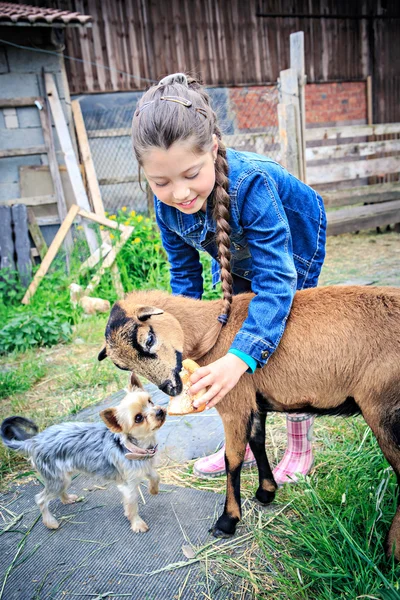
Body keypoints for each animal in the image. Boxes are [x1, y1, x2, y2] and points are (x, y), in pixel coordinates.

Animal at [0, 376, 166, 536]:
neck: (134, 447)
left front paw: (153, 490)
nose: (160, 412)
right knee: (40, 499)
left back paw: (67, 499)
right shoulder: (128, 486)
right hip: (57, 479)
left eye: (150, 401)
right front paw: (137, 524)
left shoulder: (145, 467)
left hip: (64, 477)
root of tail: (34, 441)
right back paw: (50, 522)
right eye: (138, 418)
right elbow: (132, 507)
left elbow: (155, 476)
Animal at [98, 284, 400, 556]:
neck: (213, 331)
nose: (172, 389)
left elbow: (233, 458)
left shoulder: (234, 401)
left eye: (148, 339)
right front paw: (266, 492)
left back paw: (392, 549)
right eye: (122, 366)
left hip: (383, 409)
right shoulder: (254, 402)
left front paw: (227, 521)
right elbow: (256, 441)